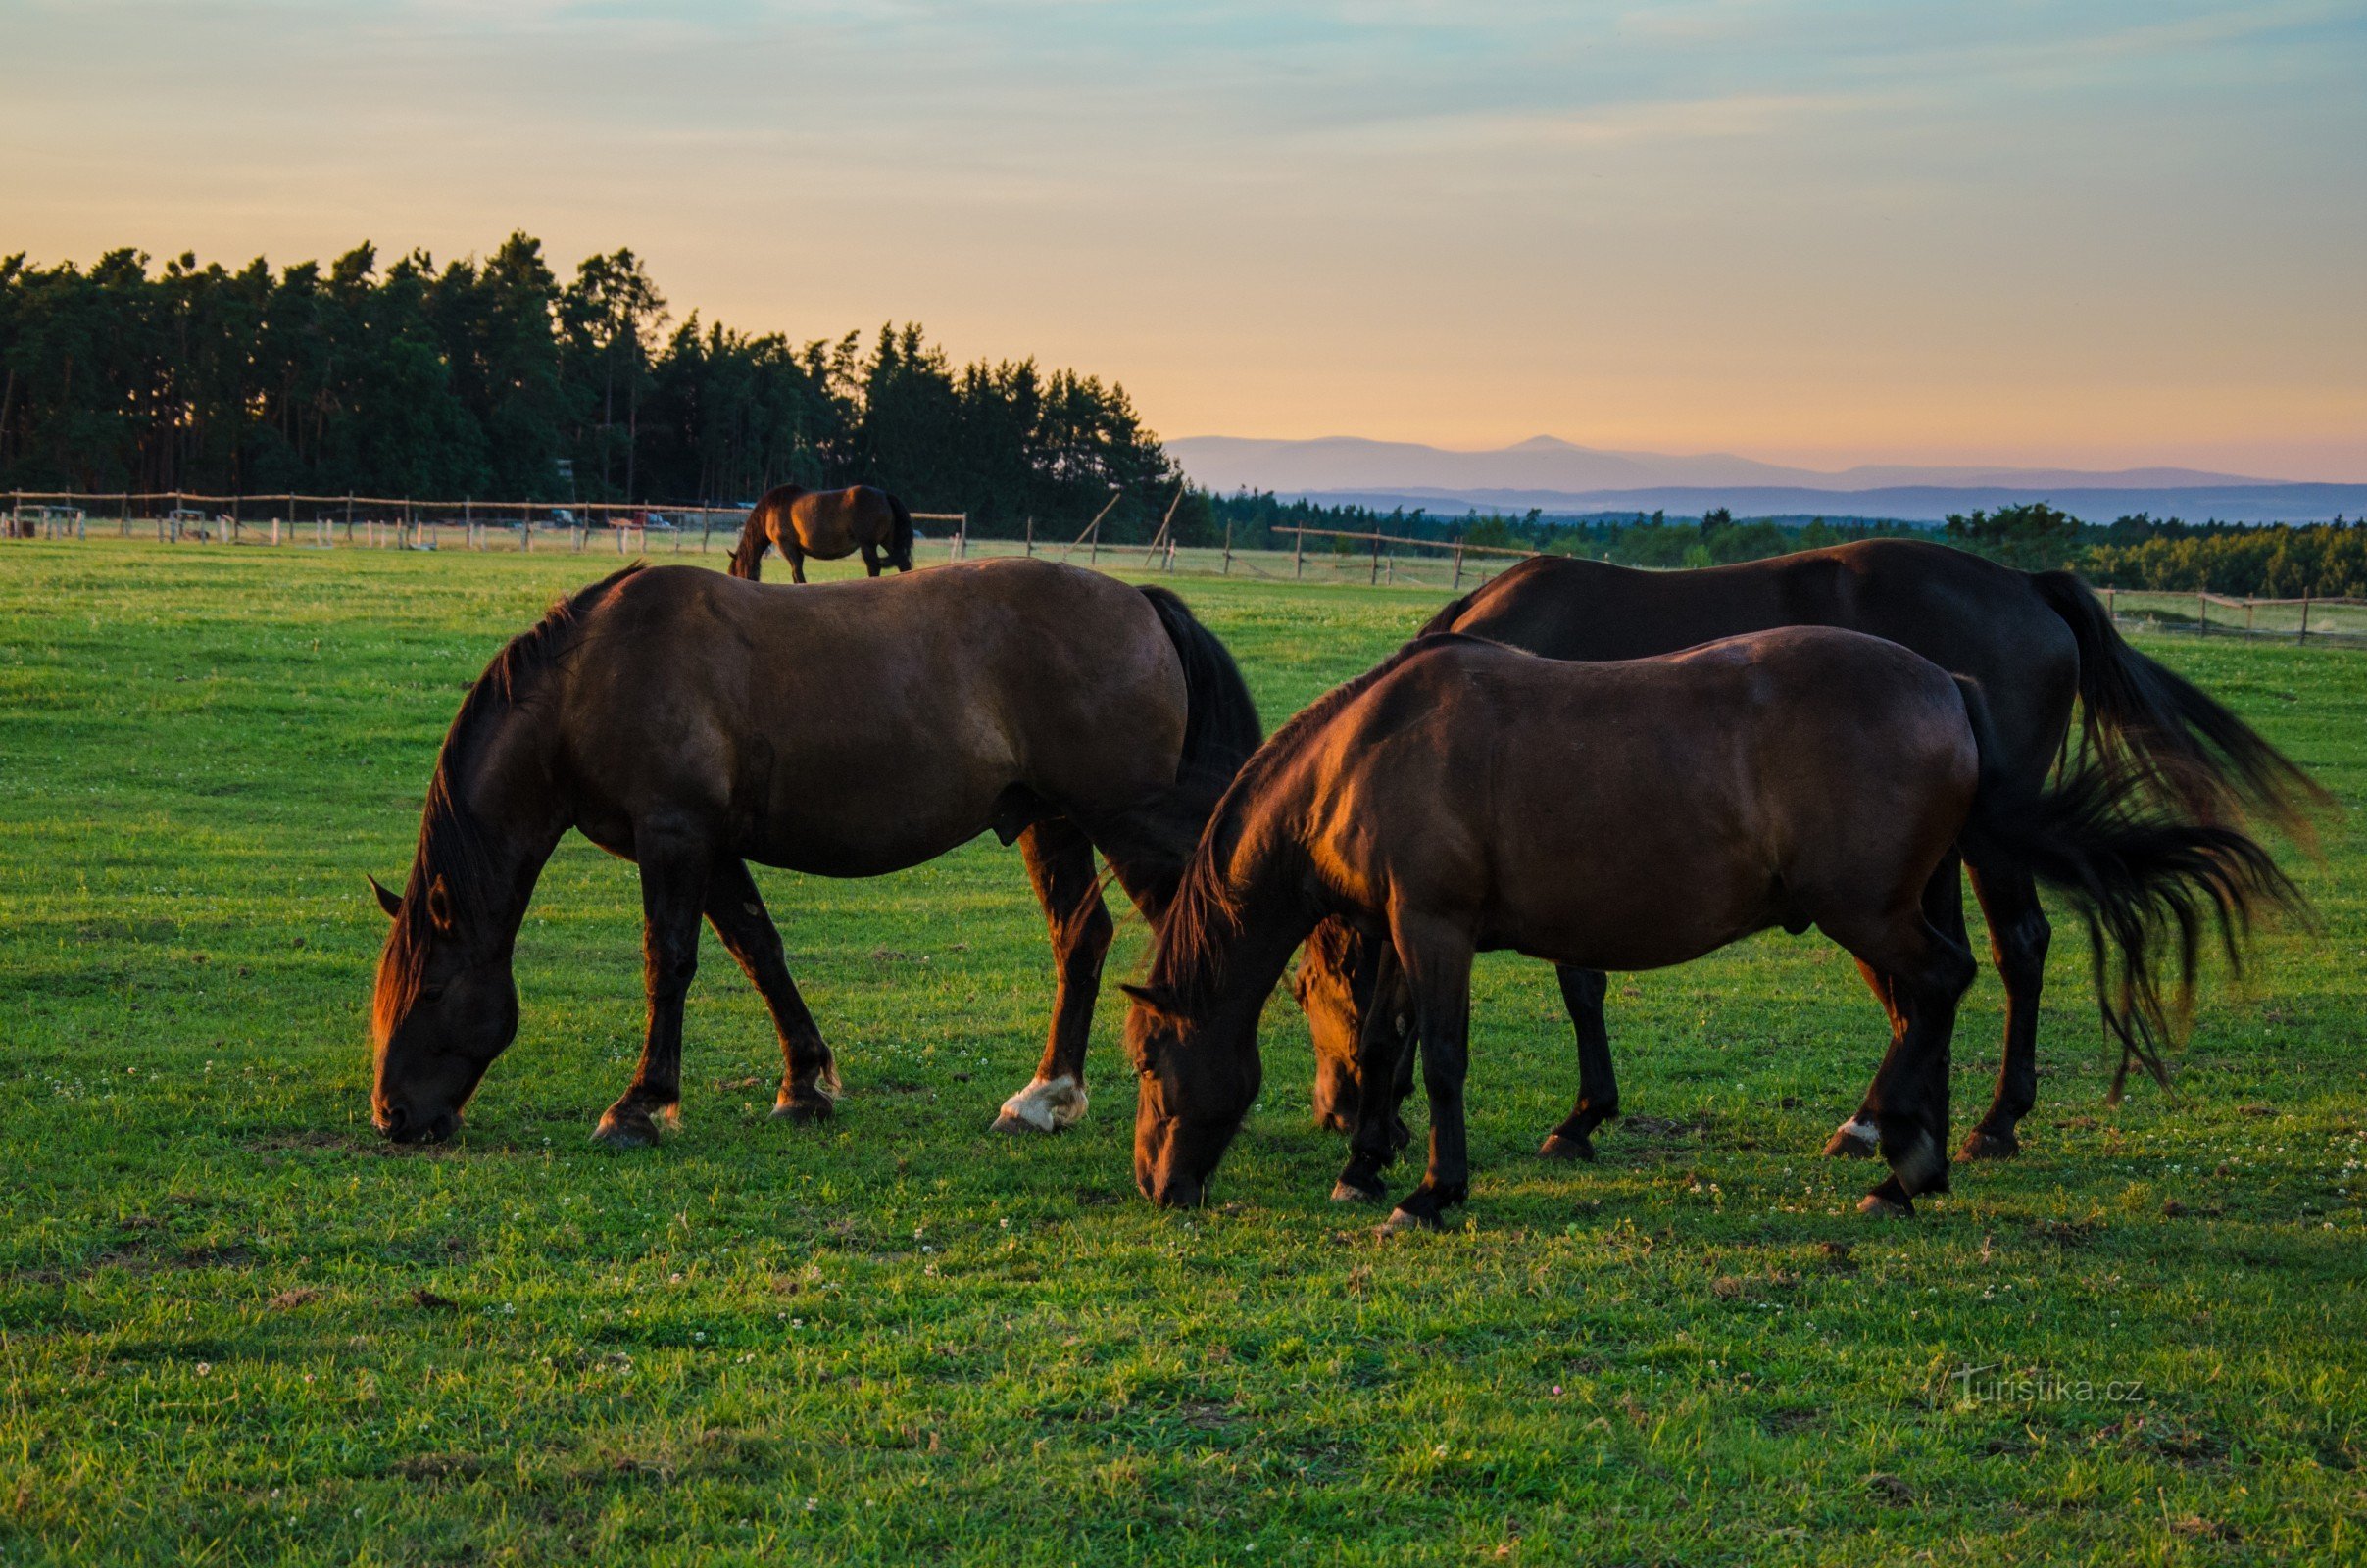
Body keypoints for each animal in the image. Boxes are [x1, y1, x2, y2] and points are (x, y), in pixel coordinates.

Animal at [364, 558, 1258, 1149]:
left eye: (431, 987)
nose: (393, 1115)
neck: (595, 676)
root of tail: (1140, 603)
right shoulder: (712, 848)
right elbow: (759, 951)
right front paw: (803, 1085)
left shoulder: (674, 837)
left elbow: (668, 963)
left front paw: (640, 1105)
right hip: (1054, 824)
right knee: (1082, 941)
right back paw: (1045, 1098)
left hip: (1126, 823)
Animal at [719, 484, 913, 581]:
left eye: (734, 573)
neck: (770, 510)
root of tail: (885, 495)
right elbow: (796, 572)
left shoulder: (787, 545)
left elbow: (797, 572)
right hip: (888, 542)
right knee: (903, 563)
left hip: (868, 544)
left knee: (874, 566)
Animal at [1126, 624, 2291, 1229]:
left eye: (1145, 1061)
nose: (1154, 1185)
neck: (1372, 747)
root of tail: (1947, 684)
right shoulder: (1410, 932)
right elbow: (1386, 1044)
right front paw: (1367, 1161)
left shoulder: (1437, 926)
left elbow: (1445, 1058)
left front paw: (1431, 1190)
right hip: (1890, 907)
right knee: (1929, 999)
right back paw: (1915, 1152)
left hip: (1866, 910)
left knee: (1943, 984)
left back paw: (1899, 1159)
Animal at [1287, 539, 2319, 1163]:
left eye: (1307, 988)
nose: (1336, 1108)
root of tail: (2028, 588)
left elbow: (1580, 983)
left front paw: (1580, 1118)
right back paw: (1909, 1120)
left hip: (1984, 842)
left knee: (2016, 950)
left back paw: (1986, 1123)